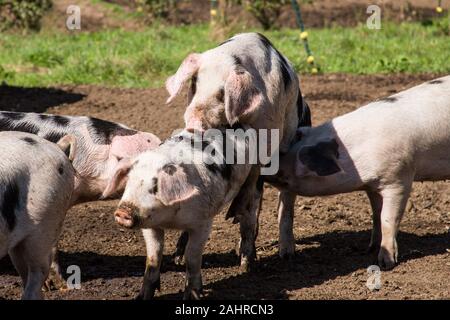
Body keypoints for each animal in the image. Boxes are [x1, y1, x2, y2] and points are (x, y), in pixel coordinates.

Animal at [103, 127, 255, 300]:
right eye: (130, 180)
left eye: (155, 187)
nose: (123, 211)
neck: (170, 219)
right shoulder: (150, 226)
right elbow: (154, 256)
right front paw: (141, 297)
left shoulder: (203, 222)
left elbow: (193, 257)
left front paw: (192, 297)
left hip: (252, 181)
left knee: (249, 216)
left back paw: (246, 265)